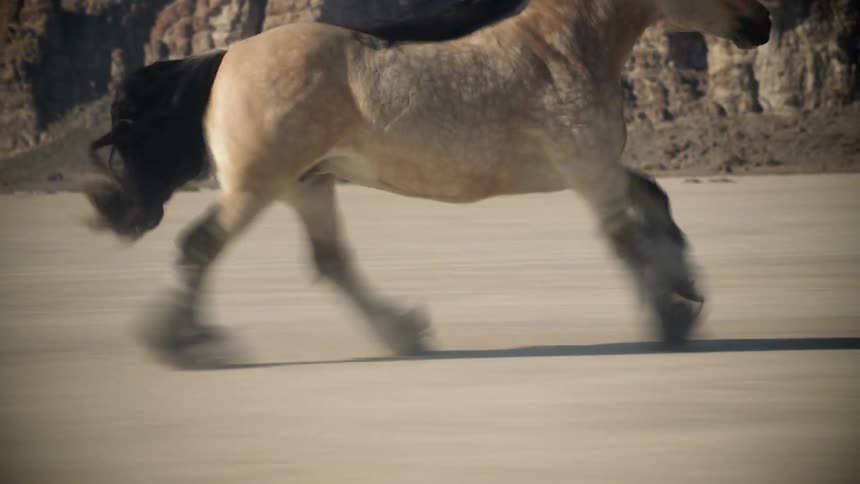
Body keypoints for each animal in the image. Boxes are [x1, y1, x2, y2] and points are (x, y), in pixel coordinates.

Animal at [86, 0, 771, 369]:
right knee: (201, 247)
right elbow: (627, 239)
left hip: (308, 183)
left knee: (331, 263)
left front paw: (686, 290)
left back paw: (405, 332)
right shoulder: (587, 170)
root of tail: (224, 56)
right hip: (258, 186)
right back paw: (189, 347)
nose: (761, 22)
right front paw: (671, 319)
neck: (561, 47)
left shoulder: (592, 168)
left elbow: (655, 197)